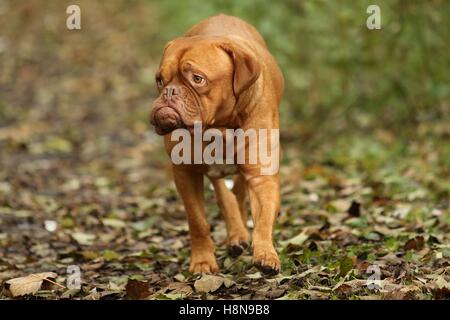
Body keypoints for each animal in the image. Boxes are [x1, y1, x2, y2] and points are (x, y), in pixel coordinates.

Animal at [149, 14, 284, 276]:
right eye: (160, 80)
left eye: (197, 79)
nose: (169, 92)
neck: (219, 127)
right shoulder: (185, 173)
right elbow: (198, 222)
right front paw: (202, 261)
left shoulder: (261, 175)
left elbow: (263, 219)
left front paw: (265, 254)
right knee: (224, 195)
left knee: (238, 194)